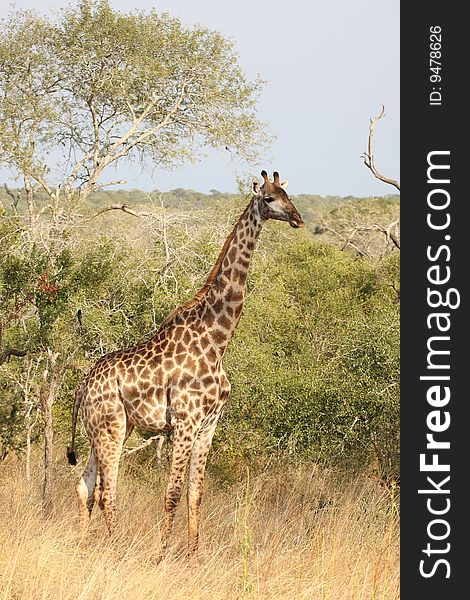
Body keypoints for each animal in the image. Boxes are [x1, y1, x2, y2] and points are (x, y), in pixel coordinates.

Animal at [67, 171, 304, 556]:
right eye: (269, 198)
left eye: (288, 194)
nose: (298, 218)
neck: (218, 342)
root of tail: (83, 385)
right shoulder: (185, 422)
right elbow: (173, 493)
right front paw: (163, 555)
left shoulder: (209, 424)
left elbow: (196, 494)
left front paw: (194, 555)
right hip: (110, 427)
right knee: (105, 491)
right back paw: (115, 548)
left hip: (109, 429)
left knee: (85, 486)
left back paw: (84, 545)